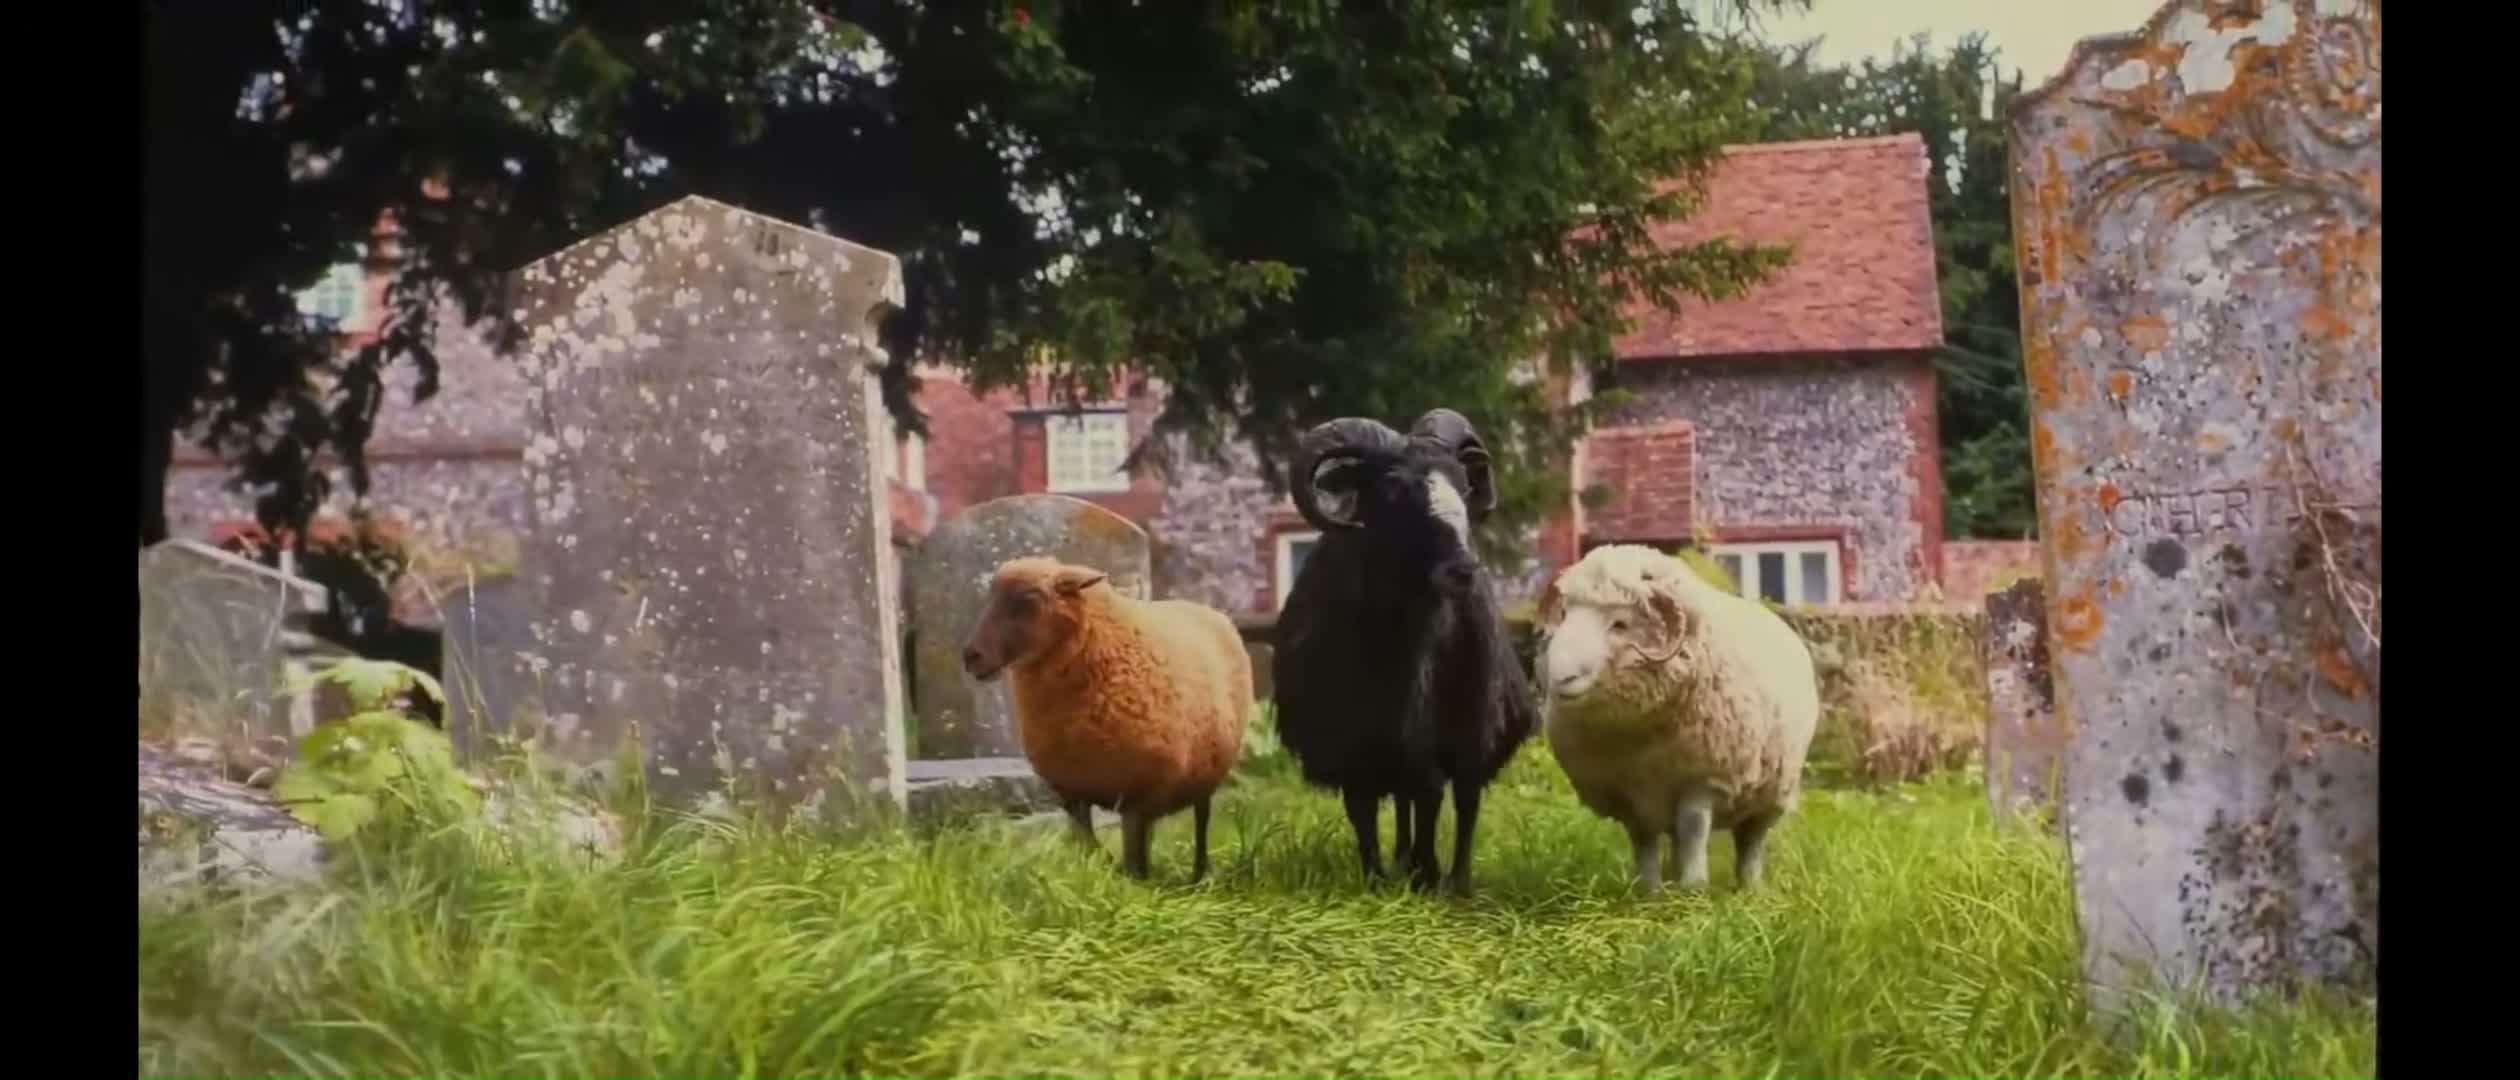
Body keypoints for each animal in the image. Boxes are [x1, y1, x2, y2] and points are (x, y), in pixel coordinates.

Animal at [960, 555, 1252, 881]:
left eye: (1028, 600)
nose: (970, 656)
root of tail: (1204, 608)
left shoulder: (1138, 793)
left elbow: (1131, 855)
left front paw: (1133, 881)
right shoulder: (1074, 795)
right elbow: (1091, 846)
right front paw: (1110, 870)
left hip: (1207, 774)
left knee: (1202, 820)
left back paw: (1199, 875)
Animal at [1271, 408, 1540, 896]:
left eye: (1463, 484)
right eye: (1393, 487)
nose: (1463, 569)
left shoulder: (1432, 730)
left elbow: (1432, 795)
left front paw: (1427, 874)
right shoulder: (1349, 742)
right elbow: (1364, 811)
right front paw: (1376, 877)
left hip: (1473, 723)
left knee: (1464, 799)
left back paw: (1456, 881)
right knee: (1402, 800)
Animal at [1533, 543, 1820, 893]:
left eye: (1620, 624)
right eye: (1564, 615)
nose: (1561, 677)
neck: (1640, 740)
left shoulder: (1703, 780)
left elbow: (1694, 829)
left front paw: (1694, 888)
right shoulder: (1629, 792)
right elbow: (1644, 840)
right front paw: (1649, 890)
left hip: (1772, 791)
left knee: (1751, 840)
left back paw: (1749, 887)